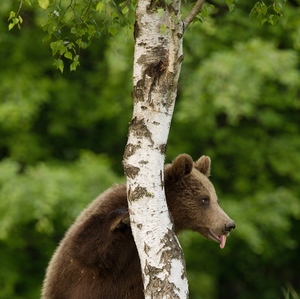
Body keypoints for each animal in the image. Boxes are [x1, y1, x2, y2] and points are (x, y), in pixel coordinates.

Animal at [41, 155, 234, 299]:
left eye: (215, 198)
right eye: (204, 199)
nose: (229, 224)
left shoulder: (133, 272)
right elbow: (88, 247)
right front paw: (123, 219)